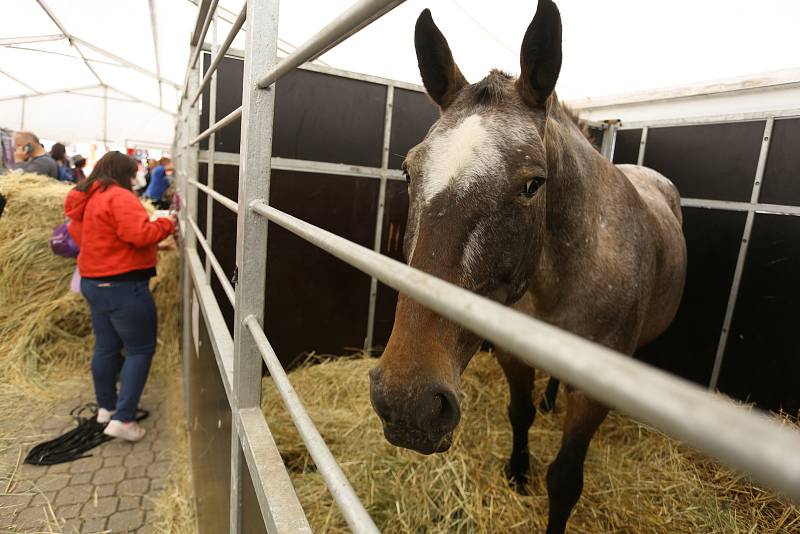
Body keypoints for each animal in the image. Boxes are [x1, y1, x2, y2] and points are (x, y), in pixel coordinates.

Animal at [368, 2, 688, 532]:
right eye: (409, 171)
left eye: (533, 184)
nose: (408, 401)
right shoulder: (513, 356)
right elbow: (519, 415)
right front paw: (518, 471)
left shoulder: (592, 397)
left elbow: (565, 480)